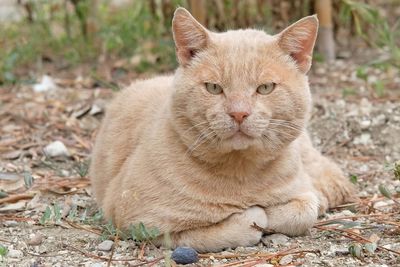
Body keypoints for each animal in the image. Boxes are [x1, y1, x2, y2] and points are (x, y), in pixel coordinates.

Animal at [90, 6, 356, 253]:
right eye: (214, 88)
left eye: (265, 88)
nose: (239, 113)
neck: (241, 175)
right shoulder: (138, 220)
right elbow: (226, 229)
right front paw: (253, 215)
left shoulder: (302, 192)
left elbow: (305, 209)